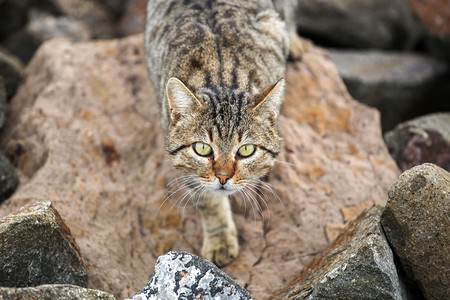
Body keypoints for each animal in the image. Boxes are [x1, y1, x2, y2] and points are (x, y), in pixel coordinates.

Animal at [144, 0, 298, 268]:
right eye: (202, 148)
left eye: (246, 150)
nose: (224, 177)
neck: (221, 76)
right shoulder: (189, 171)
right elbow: (209, 202)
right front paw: (220, 240)